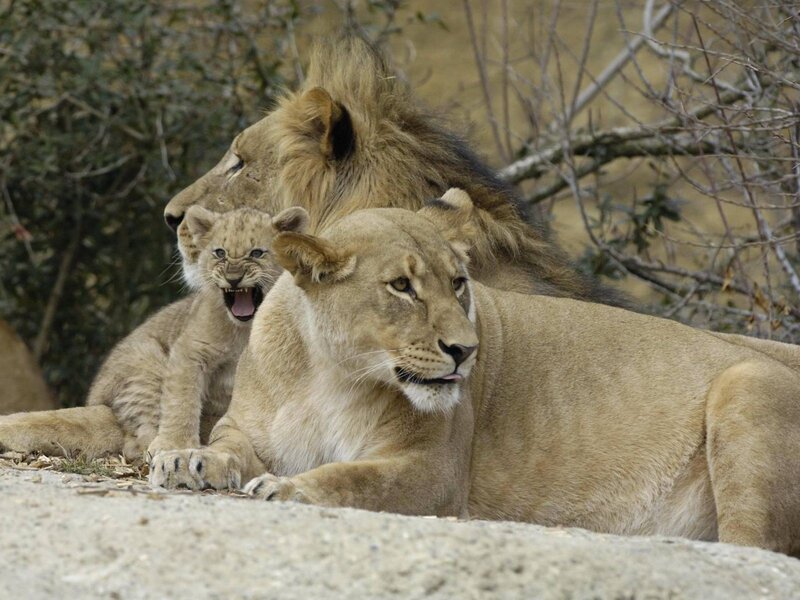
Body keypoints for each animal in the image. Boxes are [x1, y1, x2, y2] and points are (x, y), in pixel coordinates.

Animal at [0, 206, 307, 460]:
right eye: (219, 252)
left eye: (257, 253)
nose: (233, 278)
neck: (243, 328)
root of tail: (97, 401)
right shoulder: (190, 350)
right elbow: (182, 401)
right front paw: (175, 445)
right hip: (145, 361)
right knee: (135, 441)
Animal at [152, 189, 800, 556]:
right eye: (402, 286)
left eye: (458, 282)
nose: (466, 351)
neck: (332, 374)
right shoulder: (250, 427)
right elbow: (226, 445)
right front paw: (188, 459)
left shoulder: (434, 470)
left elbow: (354, 479)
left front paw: (288, 488)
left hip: (745, 383)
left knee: (759, 547)